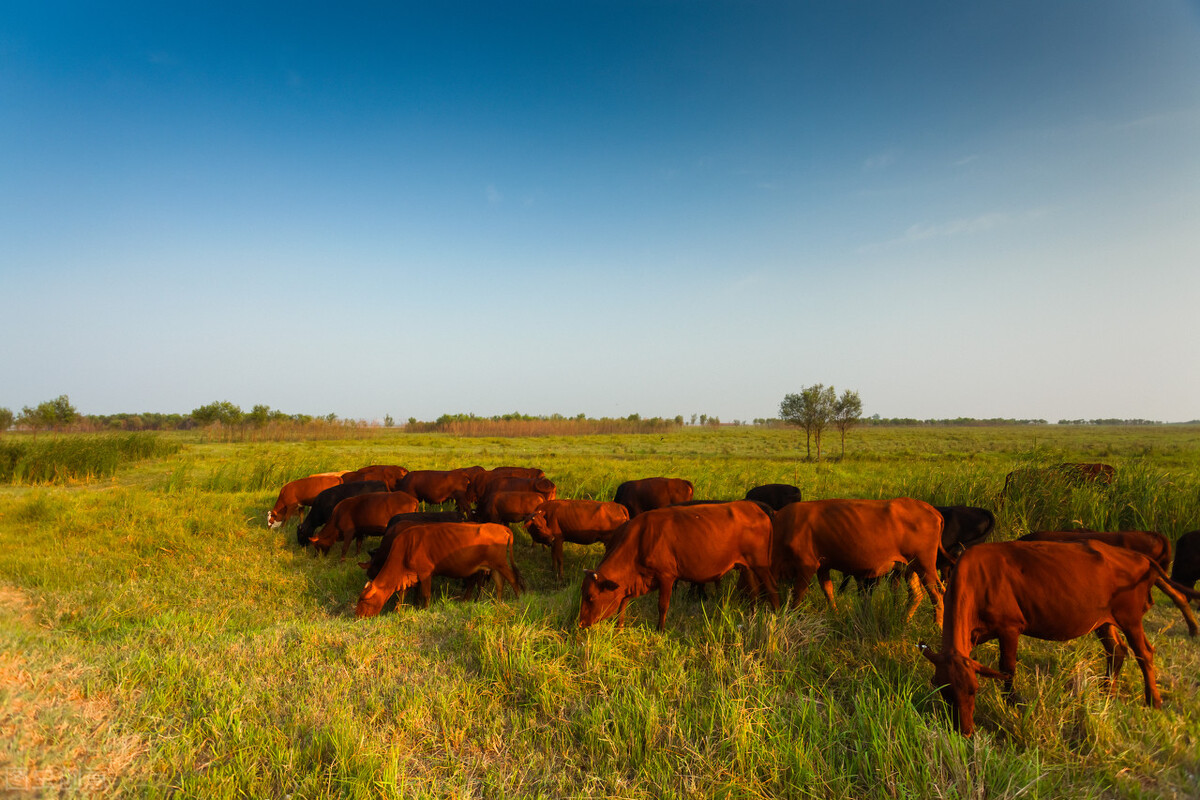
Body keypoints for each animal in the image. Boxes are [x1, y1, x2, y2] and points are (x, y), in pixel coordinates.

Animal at [355, 522, 525, 618]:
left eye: (363, 601)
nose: (357, 616)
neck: (406, 548)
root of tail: (501, 527)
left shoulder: (425, 573)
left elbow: (425, 594)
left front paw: (424, 610)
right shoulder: (409, 576)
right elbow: (401, 595)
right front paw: (398, 611)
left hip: (501, 563)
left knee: (512, 579)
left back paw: (518, 600)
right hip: (494, 566)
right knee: (500, 583)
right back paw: (498, 603)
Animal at [578, 501, 777, 633]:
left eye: (590, 597)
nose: (580, 623)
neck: (640, 539)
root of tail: (755, 508)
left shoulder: (666, 576)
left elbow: (662, 605)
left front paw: (660, 629)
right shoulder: (632, 581)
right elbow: (623, 602)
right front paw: (619, 627)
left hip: (761, 565)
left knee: (772, 589)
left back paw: (776, 615)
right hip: (746, 566)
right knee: (753, 592)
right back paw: (752, 617)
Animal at [772, 501, 950, 623]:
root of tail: (928, 507)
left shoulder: (806, 565)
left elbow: (797, 595)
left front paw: (791, 617)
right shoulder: (822, 566)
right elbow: (828, 591)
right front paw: (835, 614)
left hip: (925, 566)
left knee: (937, 594)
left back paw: (937, 625)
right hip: (910, 567)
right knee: (916, 594)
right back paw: (903, 621)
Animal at [916, 537, 1200, 738]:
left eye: (974, 690)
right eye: (943, 691)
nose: (965, 731)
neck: (978, 580)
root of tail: (1140, 557)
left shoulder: (1010, 628)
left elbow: (1007, 669)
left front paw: (1012, 703)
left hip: (1130, 618)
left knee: (1144, 653)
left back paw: (1154, 701)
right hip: (1102, 620)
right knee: (1116, 649)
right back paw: (1107, 692)